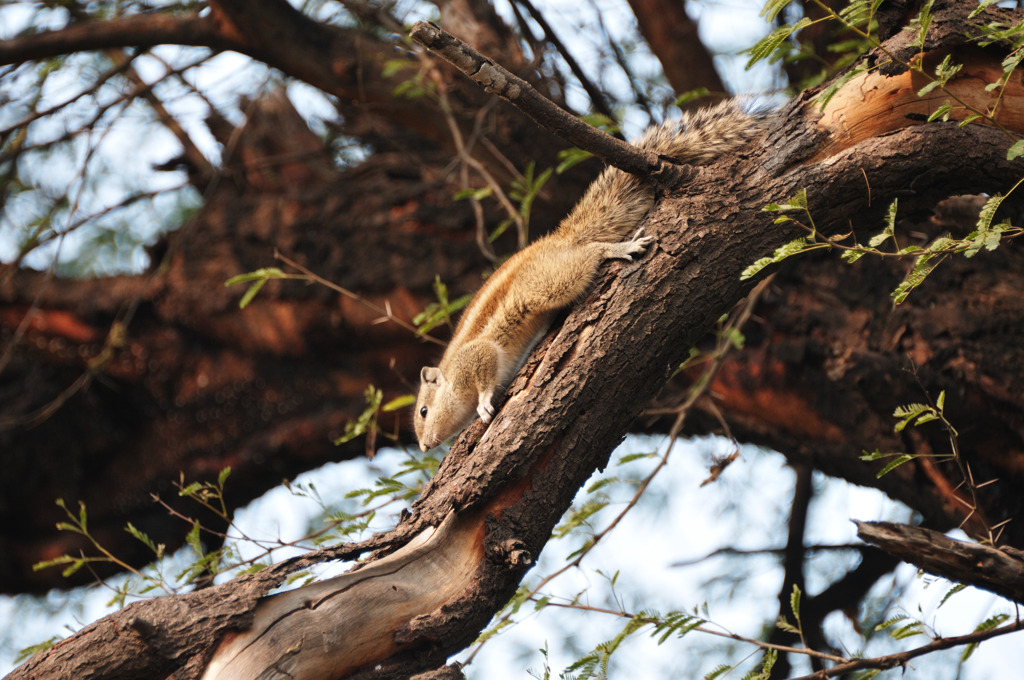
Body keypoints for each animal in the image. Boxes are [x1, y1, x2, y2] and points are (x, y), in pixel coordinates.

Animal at [415, 100, 761, 450]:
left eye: (423, 411)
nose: (425, 445)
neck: (449, 375)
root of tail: (561, 238)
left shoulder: (473, 357)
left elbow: (485, 370)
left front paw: (484, 403)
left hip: (547, 284)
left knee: (589, 254)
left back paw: (616, 249)